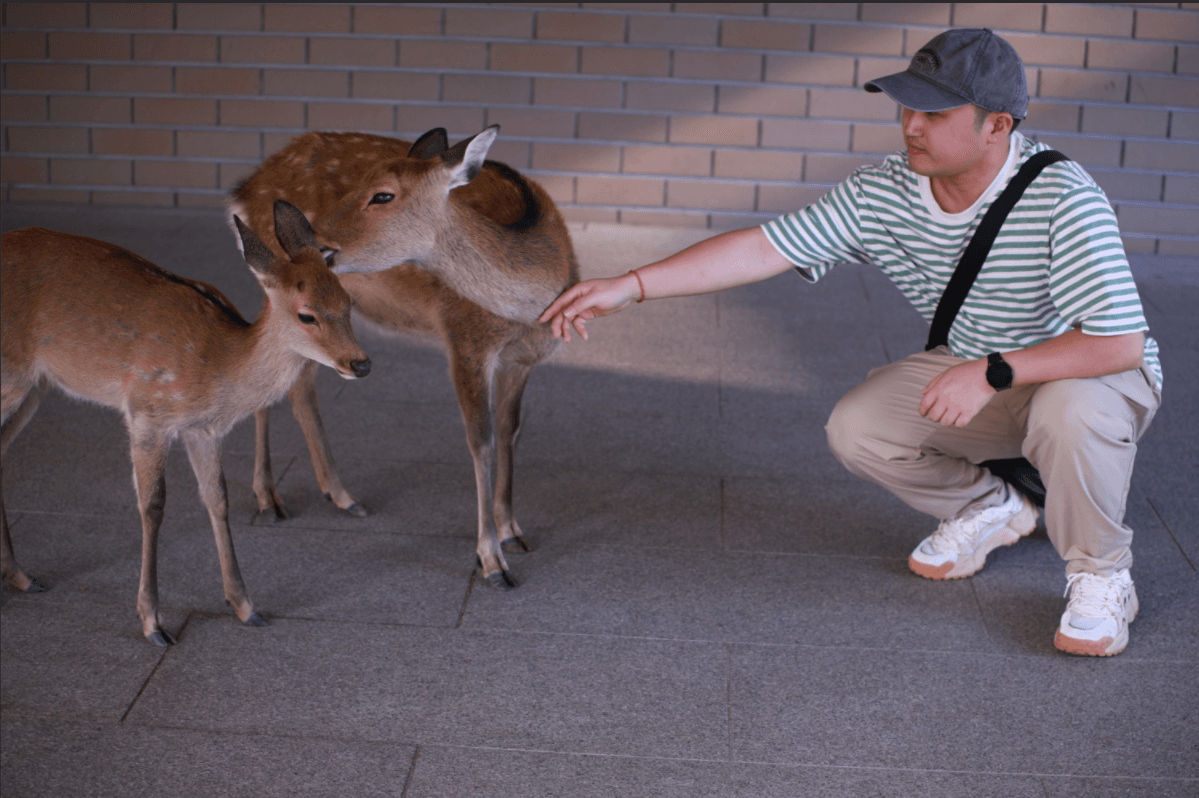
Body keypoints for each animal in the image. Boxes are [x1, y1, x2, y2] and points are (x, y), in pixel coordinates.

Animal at [0, 201, 371, 646]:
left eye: (347, 300)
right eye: (306, 315)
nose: (360, 363)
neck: (219, 365)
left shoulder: (203, 430)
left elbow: (217, 498)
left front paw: (246, 607)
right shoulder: (146, 411)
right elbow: (153, 506)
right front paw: (153, 623)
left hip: (35, 386)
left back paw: (22, 576)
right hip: (12, 376)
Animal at [228, 125, 579, 590]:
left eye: (382, 195)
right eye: (360, 181)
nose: (309, 242)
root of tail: (244, 190)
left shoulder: (521, 360)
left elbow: (509, 433)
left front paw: (512, 531)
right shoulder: (464, 337)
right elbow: (481, 441)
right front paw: (492, 562)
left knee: (299, 383)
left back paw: (342, 496)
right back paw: (269, 499)